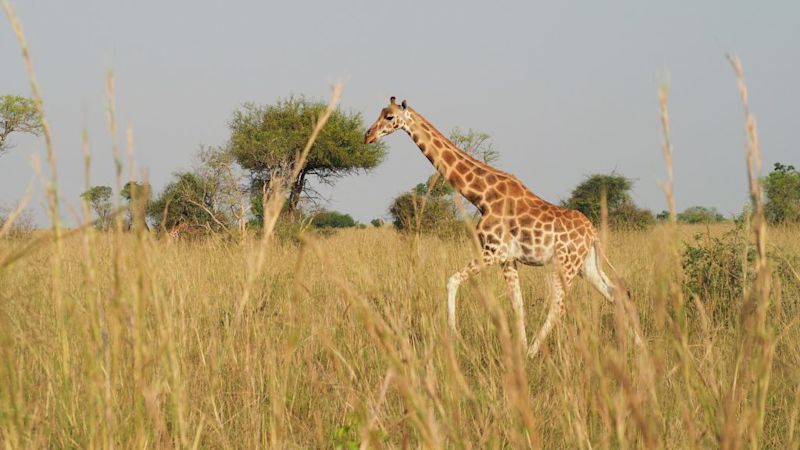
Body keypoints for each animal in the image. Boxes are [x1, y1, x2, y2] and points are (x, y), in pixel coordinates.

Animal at [366, 96, 620, 356]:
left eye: (389, 117)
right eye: (380, 112)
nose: (368, 136)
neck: (481, 197)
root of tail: (592, 232)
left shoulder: (493, 251)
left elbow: (452, 280)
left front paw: (456, 337)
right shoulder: (508, 259)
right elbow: (517, 304)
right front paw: (519, 349)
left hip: (565, 264)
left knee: (558, 306)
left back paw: (534, 352)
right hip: (585, 265)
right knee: (614, 293)